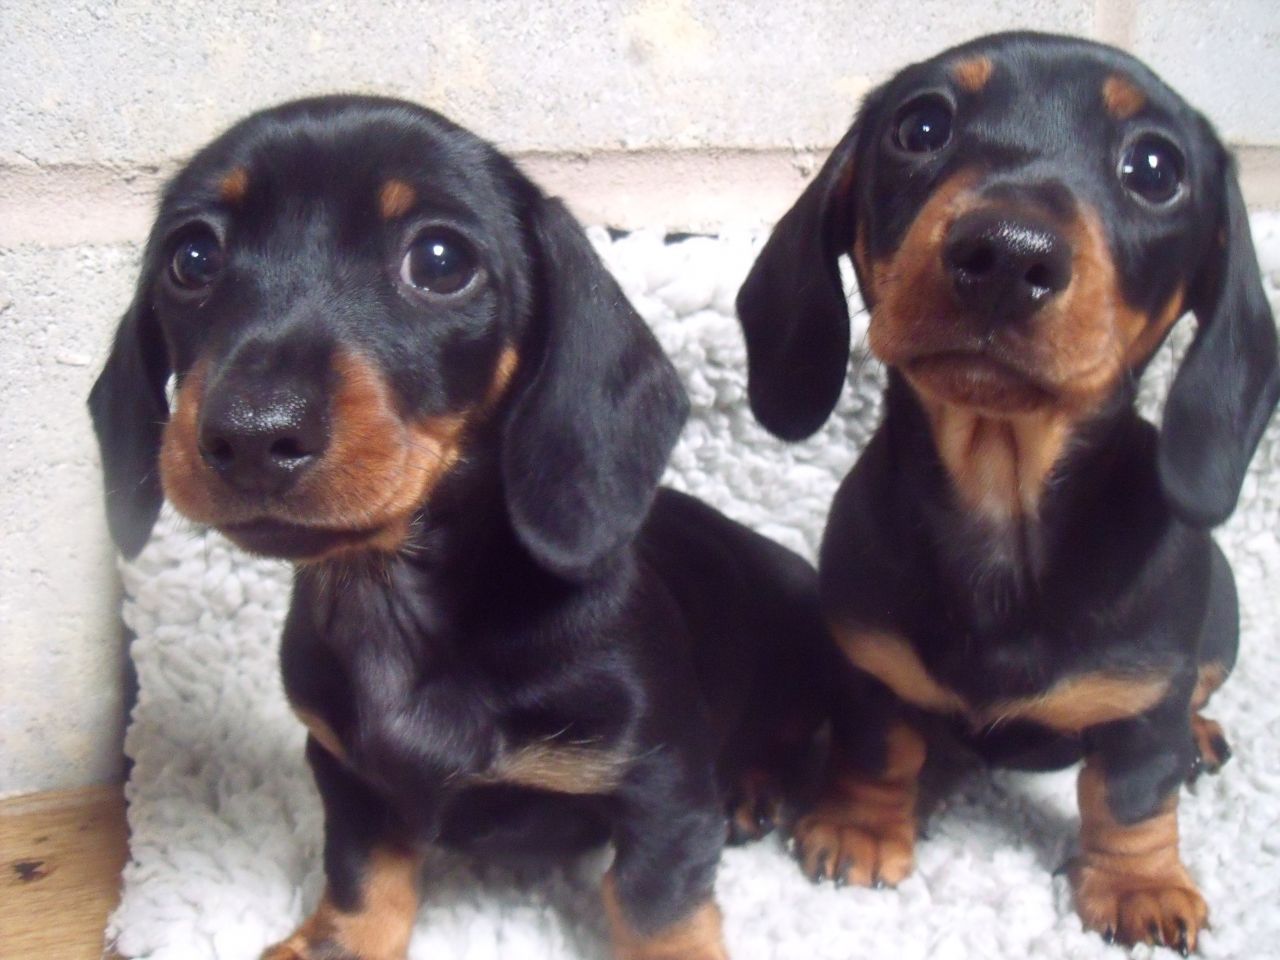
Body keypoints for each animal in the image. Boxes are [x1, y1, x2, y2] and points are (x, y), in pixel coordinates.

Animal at [90, 96, 829, 960]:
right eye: (193, 258)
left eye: (440, 261)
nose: (249, 434)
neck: (399, 601)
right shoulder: (345, 773)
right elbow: (363, 877)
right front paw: (335, 942)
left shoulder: (664, 787)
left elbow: (657, 910)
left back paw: (754, 787)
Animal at [742, 30, 1280, 957]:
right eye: (920, 126)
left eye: (1155, 168)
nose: (1007, 253)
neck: (1003, 491)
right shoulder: (867, 665)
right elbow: (882, 747)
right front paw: (860, 827)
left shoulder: (1144, 702)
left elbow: (1130, 794)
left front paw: (1140, 885)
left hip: (1218, 630)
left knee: (1198, 696)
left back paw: (1202, 737)